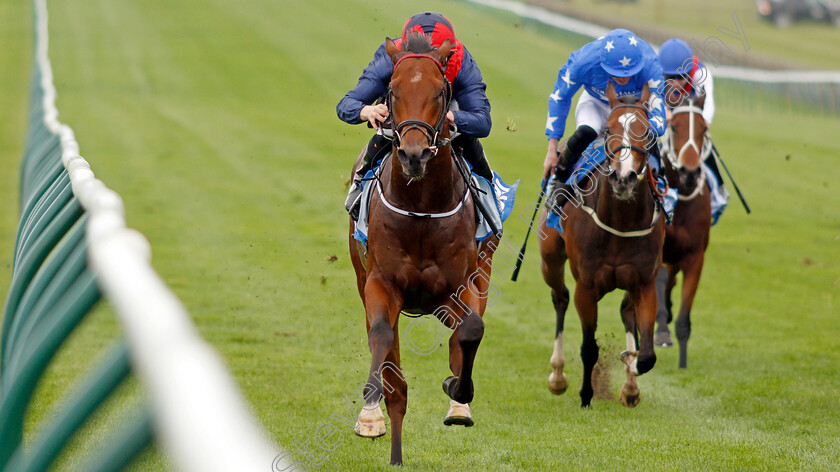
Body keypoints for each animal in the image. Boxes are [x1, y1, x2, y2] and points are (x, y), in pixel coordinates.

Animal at [344, 35, 496, 466]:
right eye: (392, 92)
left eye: (440, 92)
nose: (414, 154)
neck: (423, 208)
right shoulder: (380, 282)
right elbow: (381, 337)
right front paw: (370, 411)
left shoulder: (462, 285)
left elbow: (471, 330)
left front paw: (457, 392)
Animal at [540, 83, 668, 408]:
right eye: (609, 130)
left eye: (648, 131)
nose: (624, 178)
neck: (620, 222)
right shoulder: (586, 288)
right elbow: (589, 348)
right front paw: (586, 396)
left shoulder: (644, 283)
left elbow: (647, 355)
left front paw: (630, 365)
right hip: (550, 259)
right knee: (559, 297)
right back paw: (557, 376)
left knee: (626, 311)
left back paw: (630, 386)